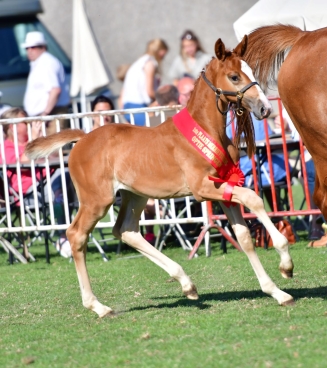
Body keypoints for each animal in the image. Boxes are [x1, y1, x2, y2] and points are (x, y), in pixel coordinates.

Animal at [26, 38, 296, 320]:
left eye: (252, 72)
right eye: (234, 76)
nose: (265, 108)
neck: (209, 130)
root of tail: (82, 139)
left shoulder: (225, 187)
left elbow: (243, 236)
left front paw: (278, 292)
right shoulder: (202, 188)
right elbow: (254, 199)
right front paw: (286, 262)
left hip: (134, 195)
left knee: (125, 230)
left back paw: (186, 283)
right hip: (96, 200)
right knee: (76, 234)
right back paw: (98, 306)